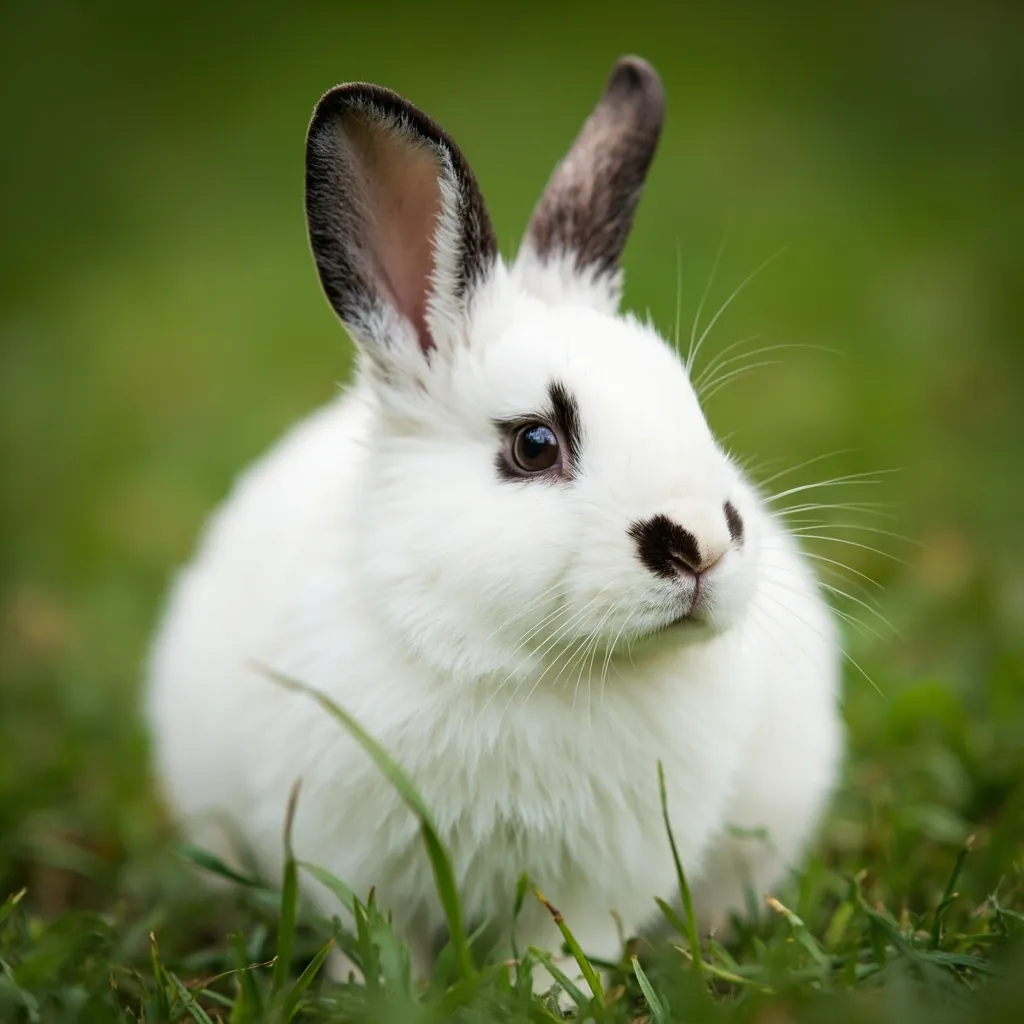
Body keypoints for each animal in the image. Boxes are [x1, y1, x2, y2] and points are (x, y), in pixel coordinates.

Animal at [145, 55, 843, 998]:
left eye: (693, 412)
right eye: (534, 443)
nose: (700, 545)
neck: (524, 664)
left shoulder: (603, 877)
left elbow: (567, 941)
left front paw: (550, 996)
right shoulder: (347, 851)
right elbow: (373, 935)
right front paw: (382, 997)